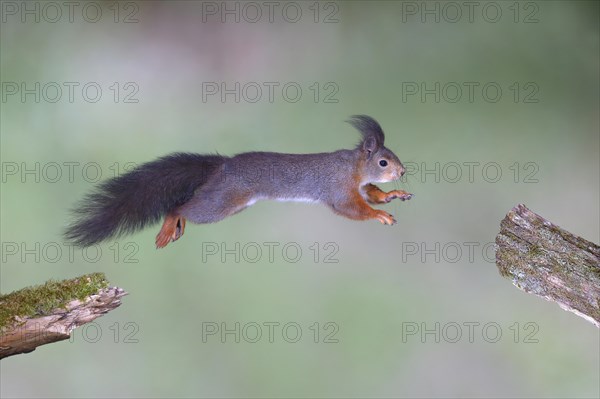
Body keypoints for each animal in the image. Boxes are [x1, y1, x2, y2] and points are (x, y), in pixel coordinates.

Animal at [64, 114, 412, 248]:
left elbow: (372, 194)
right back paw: (169, 225)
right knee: (180, 206)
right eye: (383, 161)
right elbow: (352, 209)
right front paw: (379, 214)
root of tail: (223, 165)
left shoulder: (360, 185)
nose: (402, 172)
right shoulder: (339, 189)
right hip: (221, 202)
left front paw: (393, 195)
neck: (354, 167)